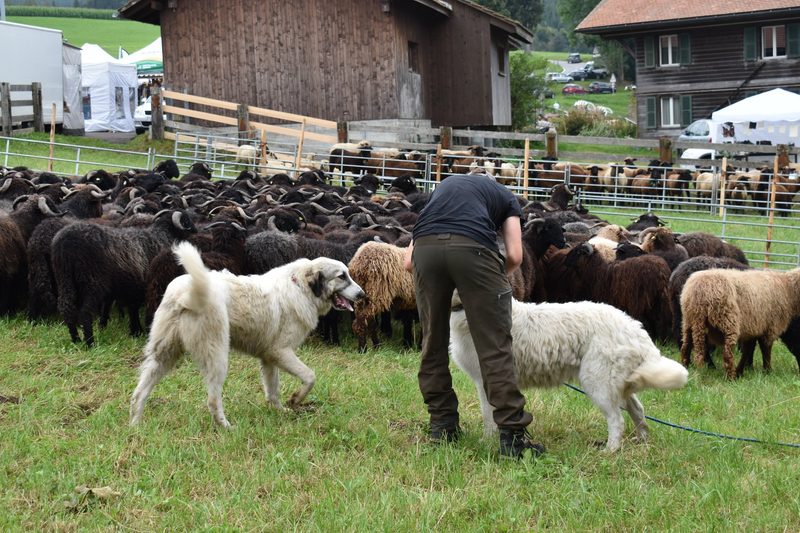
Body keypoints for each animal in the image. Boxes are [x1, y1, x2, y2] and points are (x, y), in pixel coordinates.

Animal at [52, 209, 197, 346]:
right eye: (186, 221)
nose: (196, 231)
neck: (162, 235)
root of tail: (65, 242)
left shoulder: (127, 288)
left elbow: (119, 307)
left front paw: (113, 328)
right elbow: (134, 309)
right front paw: (138, 331)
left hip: (64, 279)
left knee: (66, 307)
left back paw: (75, 340)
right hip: (93, 282)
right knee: (85, 312)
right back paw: (90, 343)